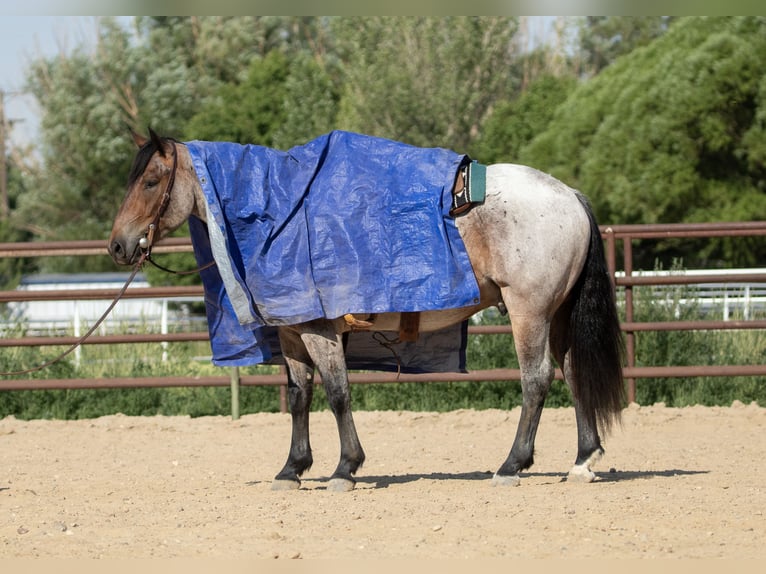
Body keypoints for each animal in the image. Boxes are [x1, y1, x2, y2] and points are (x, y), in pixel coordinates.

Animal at [106, 130, 624, 496]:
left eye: (150, 181)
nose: (118, 246)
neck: (275, 216)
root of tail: (569, 195)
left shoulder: (320, 330)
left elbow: (338, 393)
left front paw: (345, 468)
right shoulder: (293, 333)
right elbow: (299, 397)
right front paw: (291, 469)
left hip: (528, 312)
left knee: (536, 379)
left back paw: (512, 465)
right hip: (558, 314)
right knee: (573, 371)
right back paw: (583, 459)